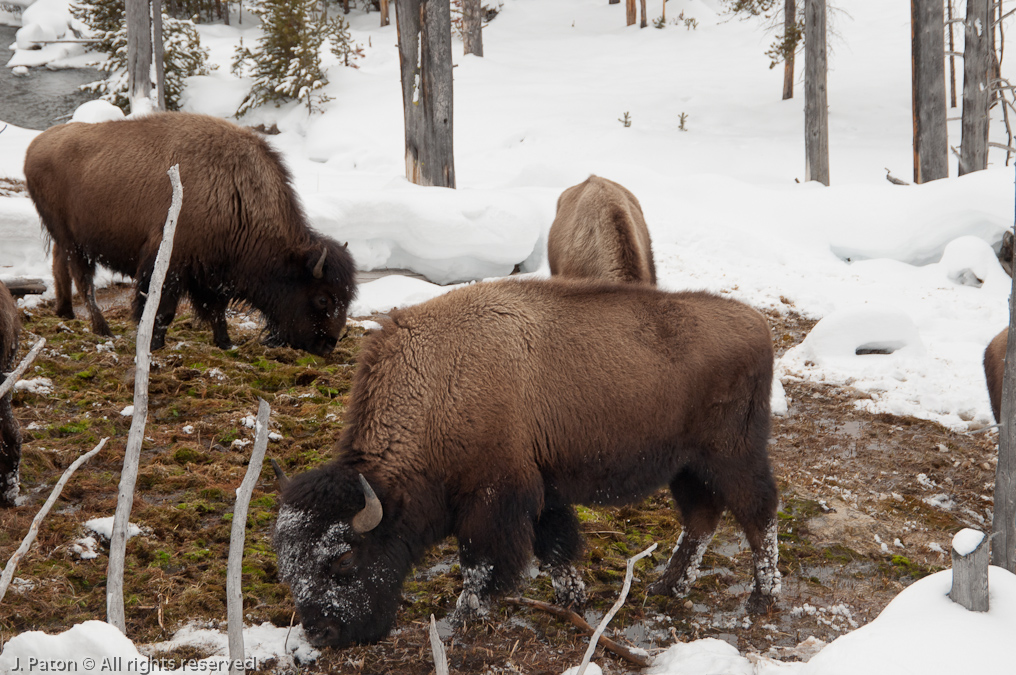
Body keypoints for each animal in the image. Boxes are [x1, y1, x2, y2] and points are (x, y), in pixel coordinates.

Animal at [23, 111, 357, 353]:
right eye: (323, 299)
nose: (328, 345)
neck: (235, 194)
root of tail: (36, 146)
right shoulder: (169, 265)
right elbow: (161, 309)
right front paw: (153, 345)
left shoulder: (213, 274)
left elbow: (216, 311)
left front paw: (226, 343)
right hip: (75, 242)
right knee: (84, 281)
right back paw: (102, 329)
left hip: (66, 239)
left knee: (61, 268)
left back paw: (65, 313)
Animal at [274, 276, 780, 650]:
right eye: (286, 565)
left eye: (343, 559)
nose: (320, 633)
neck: (437, 388)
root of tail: (757, 324)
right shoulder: (544, 489)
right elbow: (556, 547)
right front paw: (572, 601)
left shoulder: (495, 497)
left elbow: (480, 563)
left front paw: (464, 616)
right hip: (687, 468)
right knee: (702, 518)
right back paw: (667, 588)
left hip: (731, 456)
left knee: (758, 513)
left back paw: (762, 598)